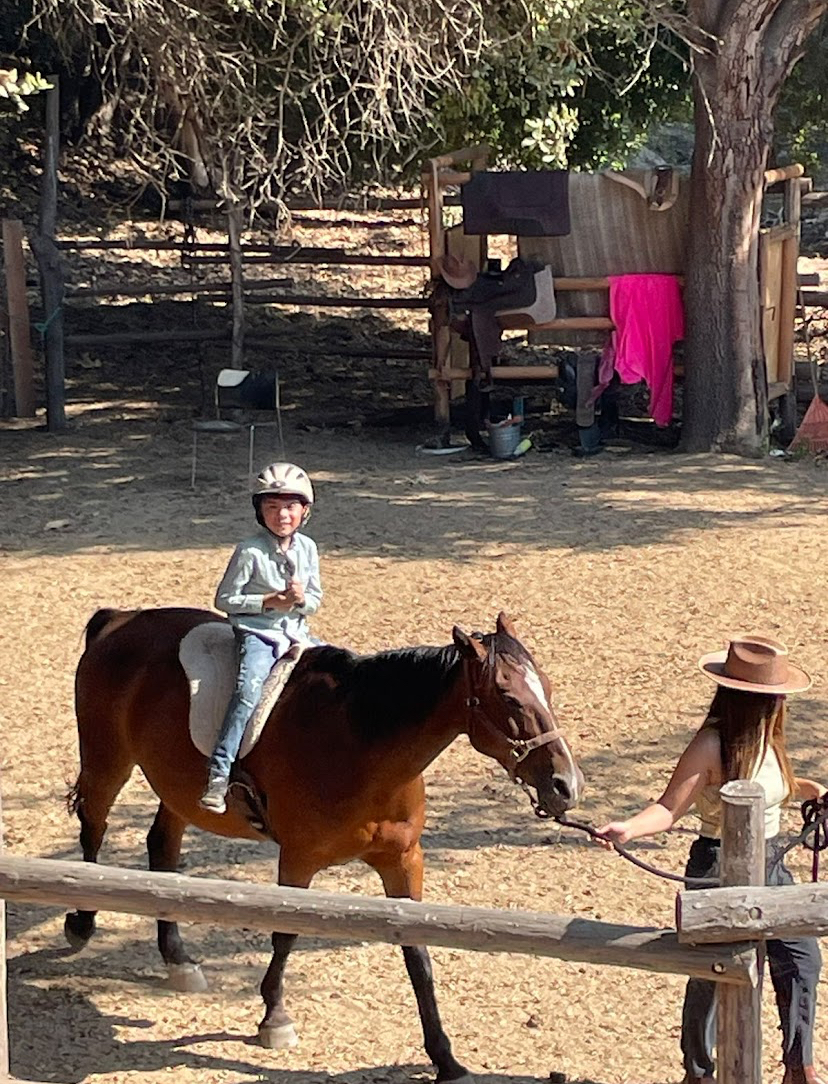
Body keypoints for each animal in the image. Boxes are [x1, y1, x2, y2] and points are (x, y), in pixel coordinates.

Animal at [67, 606, 583, 1084]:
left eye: (548, 687)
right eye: (508, 697)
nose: (566, 785)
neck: (362, 744)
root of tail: (121, 619)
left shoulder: (403, 861)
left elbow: (418, 954)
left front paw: (446, 1059)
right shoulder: (298, 859)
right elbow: (286, 935)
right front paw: (275, 1019)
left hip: (177, 791)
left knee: (162, 850)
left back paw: (178, 960)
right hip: (107, 758)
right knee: (94, 827)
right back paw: (82, 922)